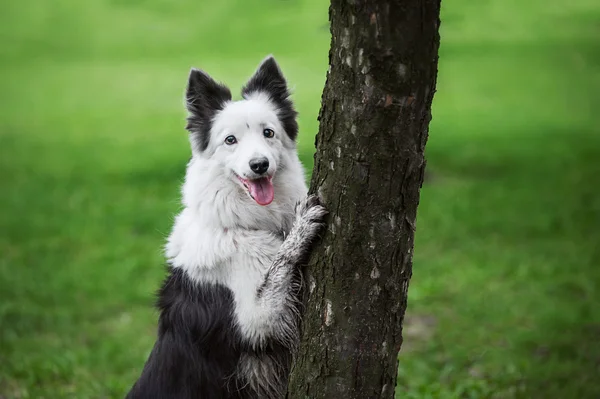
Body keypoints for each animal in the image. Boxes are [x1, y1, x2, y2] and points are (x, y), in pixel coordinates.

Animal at [123, 57, 326, 399]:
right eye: (230, 140)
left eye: (268, 133)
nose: (259, 165)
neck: (242, 226)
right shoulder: (255, 321)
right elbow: (279, 267)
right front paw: (300, 228)